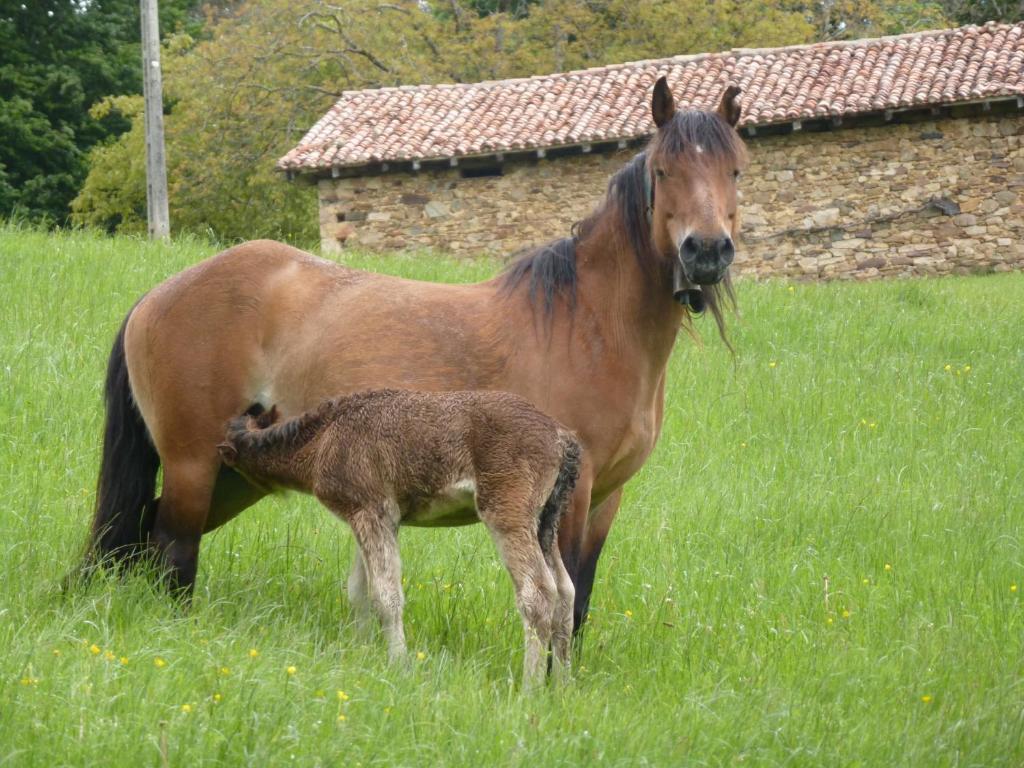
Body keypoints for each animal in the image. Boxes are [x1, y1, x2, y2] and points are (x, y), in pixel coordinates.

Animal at [86, 76, 745, 630]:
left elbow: (577, 602)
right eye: (663, 170)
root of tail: (158, 296)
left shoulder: (606, 497)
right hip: (194, 465)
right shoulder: (571, 496)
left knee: (144, 537)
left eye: (736, 171)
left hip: (234, 471)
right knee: (172, 551)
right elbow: (562, 598)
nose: (707, 251)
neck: (585, 322)